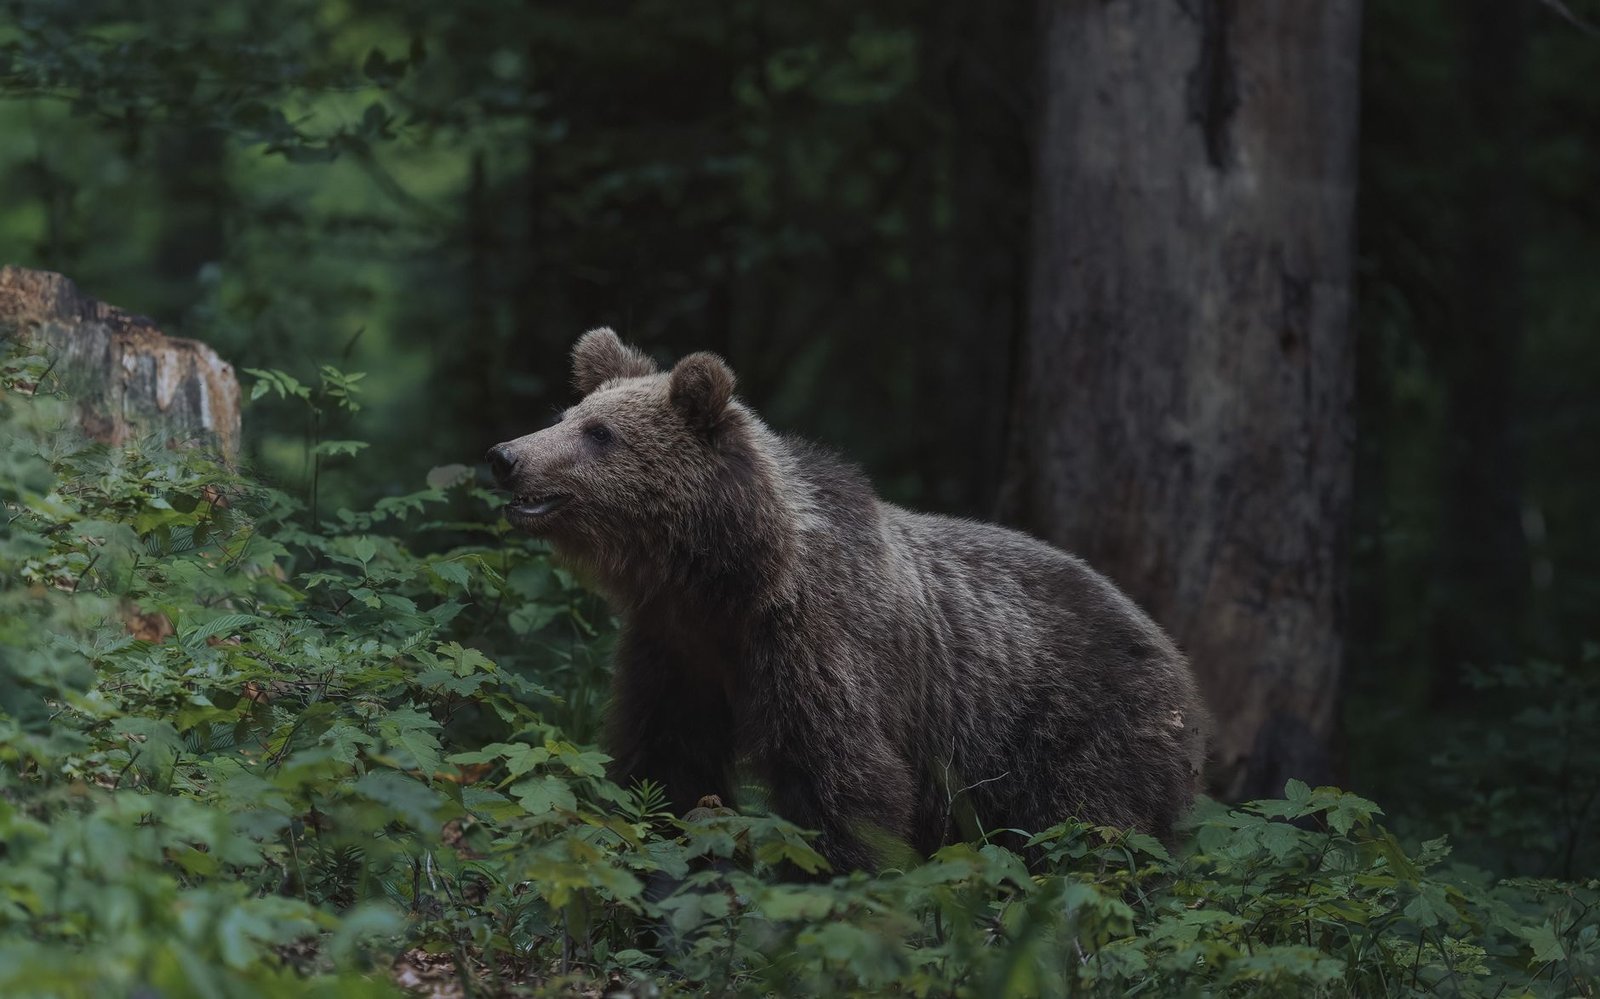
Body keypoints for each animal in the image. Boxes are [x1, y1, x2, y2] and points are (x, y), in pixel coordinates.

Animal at [487, 328, 1208, 872]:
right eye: (563, 416)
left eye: (599, 432)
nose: (505, 455)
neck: (730, 582)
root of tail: (1174, 652)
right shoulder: (676, 650)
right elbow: (666, 760)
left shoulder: (818, 646)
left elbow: (844, 784)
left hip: (1079, 724)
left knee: (1094, 830)